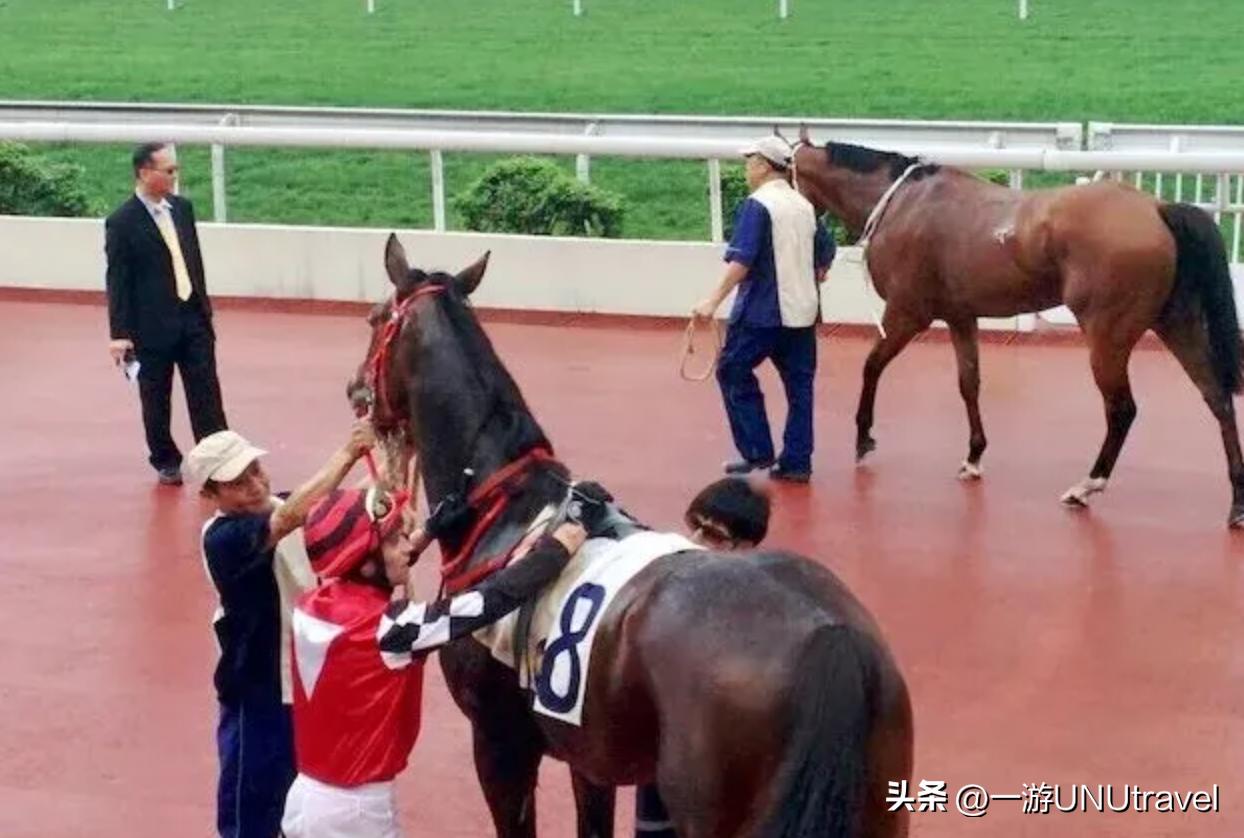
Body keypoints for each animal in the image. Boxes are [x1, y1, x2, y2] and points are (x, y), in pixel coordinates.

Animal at [346, 234, 914, 838]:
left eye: (375, 317)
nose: (356, 388)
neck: (504, 512)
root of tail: (833, 638)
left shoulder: (499, 743)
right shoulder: (587, 754)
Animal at [790, 133, 1244, 526]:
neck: (901, 202)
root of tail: (1158, 208)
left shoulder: (907, 313)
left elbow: (871, 366)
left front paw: (863, 436)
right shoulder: (960, 315)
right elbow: (969, 382)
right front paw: (973, 456)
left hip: (1108, 336)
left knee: (1122, 409)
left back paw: (1087, 485)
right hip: (1177, 323)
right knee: (1217, 398)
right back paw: (1237, 502)